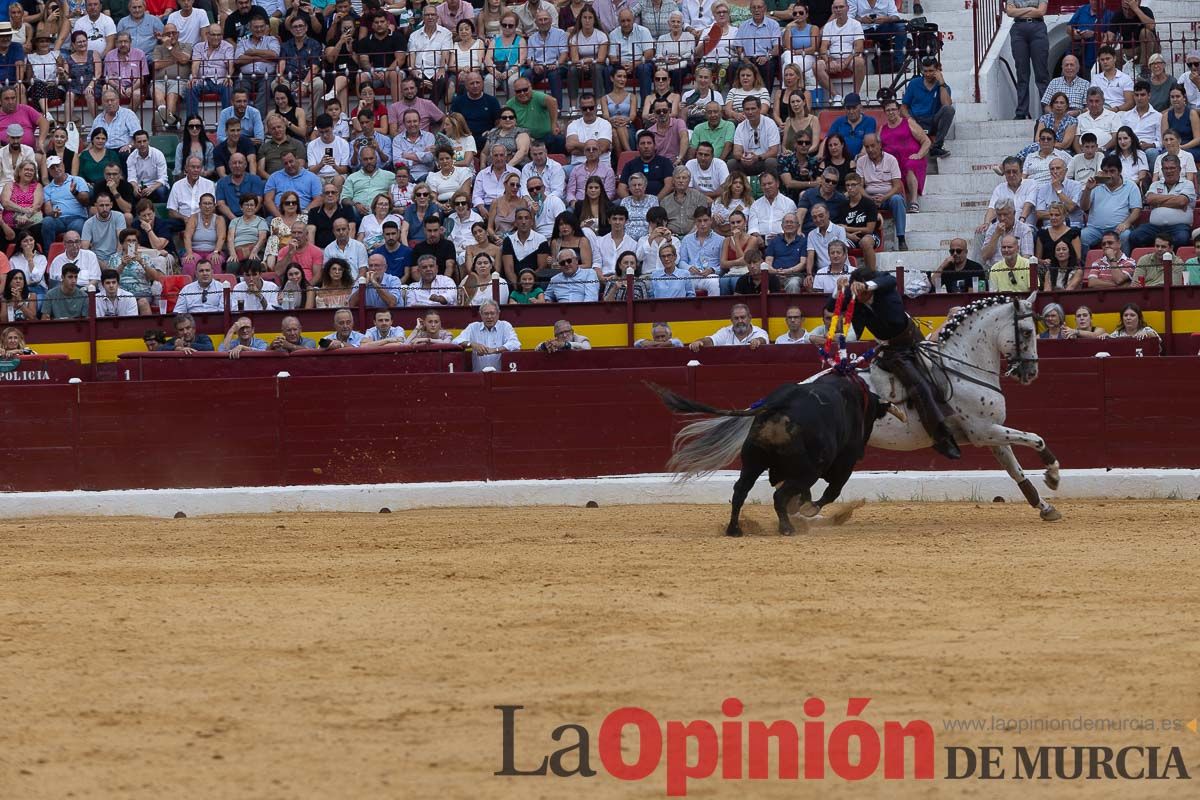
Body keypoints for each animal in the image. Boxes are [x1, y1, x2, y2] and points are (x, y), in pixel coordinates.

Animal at [657, 376, 902, 537]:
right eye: (871, 419)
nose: (862, 451)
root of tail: (779, 404)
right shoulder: (845, 463)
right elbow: (832, 491)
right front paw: (808, 509)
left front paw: (800, 506)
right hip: (808, 470)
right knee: (780, 495)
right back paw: (787, 529)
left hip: (752, 462)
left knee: (740, 491)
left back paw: (734, 529)